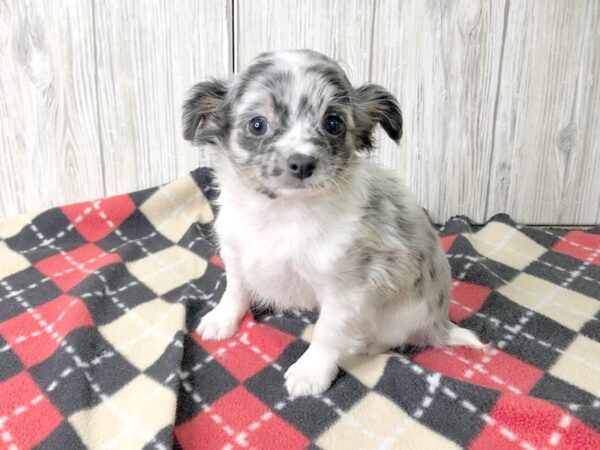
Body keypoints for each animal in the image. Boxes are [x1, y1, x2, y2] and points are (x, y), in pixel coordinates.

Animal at [182, 48, 482, 398]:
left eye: (333, 123)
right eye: (257, 125)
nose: (302, 164)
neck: (281, 213)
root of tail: (440, 323)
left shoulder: (345, 288)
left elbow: (328, 332)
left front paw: (310, 371)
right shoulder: (235, 251)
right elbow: (235, 289)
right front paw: (222, 319)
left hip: (397, 318)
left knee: (387, 340)